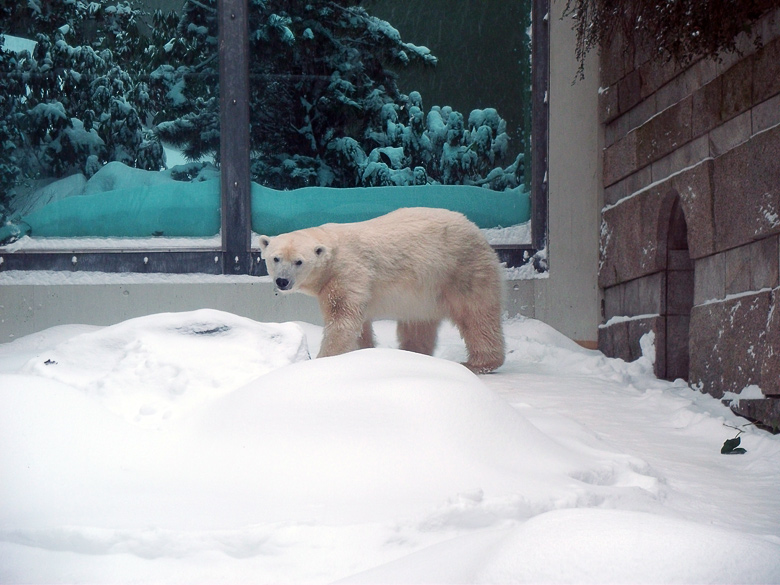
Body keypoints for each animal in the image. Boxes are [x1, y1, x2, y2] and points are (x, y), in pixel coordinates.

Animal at [258, 208, 506, 372]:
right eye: (276, 258)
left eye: (299, 261)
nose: (282, 281)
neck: (333, 251)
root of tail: (475, 228)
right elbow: (359, 326)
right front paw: (364, 352)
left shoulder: (347, 273)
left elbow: (342, 320)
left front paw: (323, 360)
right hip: (424, 292)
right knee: (418, 323)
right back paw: (412, 353)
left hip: (461, 268)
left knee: (476, 314)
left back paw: (479, 363)